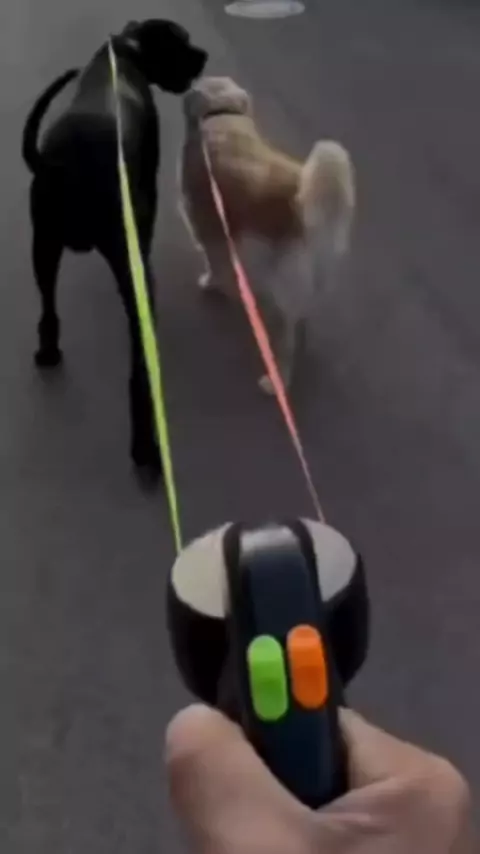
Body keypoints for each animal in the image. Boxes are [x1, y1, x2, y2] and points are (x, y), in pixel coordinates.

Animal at [22, 20, 208, 478]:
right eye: (181, 41)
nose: (204, 56)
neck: (127, 51)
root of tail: (66, 165)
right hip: (129, 271)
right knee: (139, 377)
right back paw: (146, 450)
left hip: (43, 246)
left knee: (48, 308)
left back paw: (48, 352)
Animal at [179, 76, 355, 393]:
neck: (222, 114)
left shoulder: (207, 223)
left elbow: (215, 262)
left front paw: (211, 283)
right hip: (309, 280)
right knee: (301, 318)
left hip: (283, 284)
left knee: (286, 342)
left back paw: (275, 381)